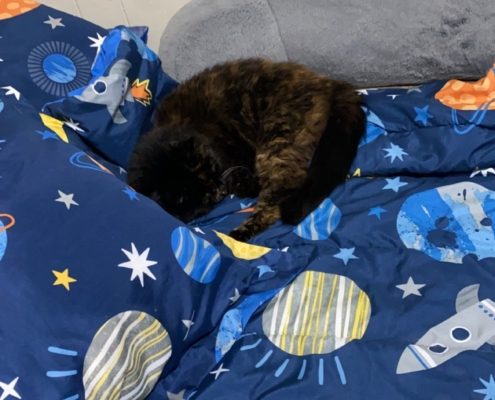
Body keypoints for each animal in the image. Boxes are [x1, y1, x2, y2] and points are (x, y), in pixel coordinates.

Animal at [128, 58, 368, 241]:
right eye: (205, 197)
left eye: (211, 170)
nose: (220, 189)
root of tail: (327, 83)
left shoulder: (234, 151)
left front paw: (246, 187)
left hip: (275, 142)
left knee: (282, 190)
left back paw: (240, 233)